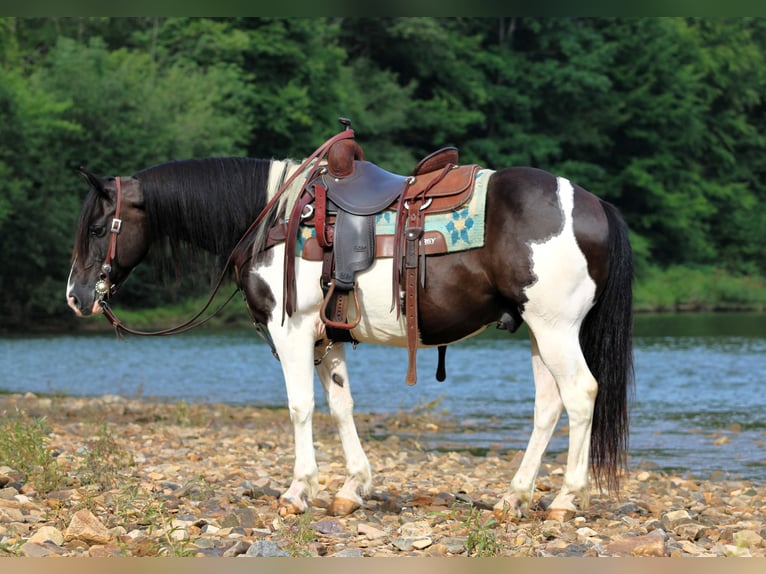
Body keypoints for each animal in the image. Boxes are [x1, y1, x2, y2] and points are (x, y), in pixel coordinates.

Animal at [66, 138, 634, 522]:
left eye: (96, 228)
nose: (75, 296)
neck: (274, 218)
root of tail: (595, 204)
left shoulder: (291, 331)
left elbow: (300, 407)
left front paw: (298, 491)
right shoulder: (326, 339)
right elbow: (341, 407)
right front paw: (352, 488)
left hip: (555, 329)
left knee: (581, 395)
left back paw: (565, 499)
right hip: (539, 333)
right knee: (549, 406)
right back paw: (513, 497)